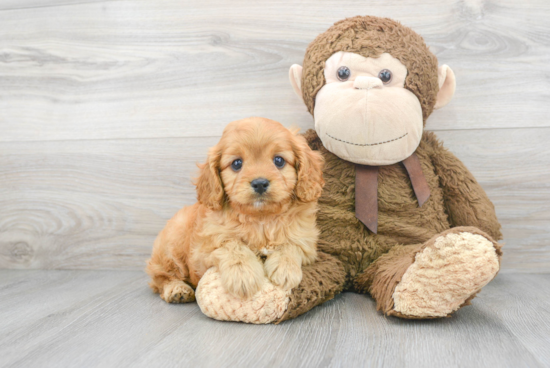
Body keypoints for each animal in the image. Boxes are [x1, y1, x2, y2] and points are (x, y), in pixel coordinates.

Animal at [149, 117, 326, 302]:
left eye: (279, 161)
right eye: (236, 163)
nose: (260, 183)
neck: (261, 219)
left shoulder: (307, 242)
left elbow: (291, 244)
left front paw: (285, 268)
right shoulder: (203, 251)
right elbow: (231, 245)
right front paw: (243, 275)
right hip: (171, 247)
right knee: (160, 278)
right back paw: (177, 290)